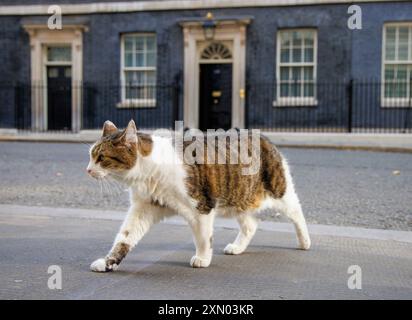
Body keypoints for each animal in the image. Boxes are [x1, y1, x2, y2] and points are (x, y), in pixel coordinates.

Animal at [87, 120, 312, 272]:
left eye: (101, 157)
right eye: (91, 155)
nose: (87, 170)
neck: (150, 172)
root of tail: (263, 137)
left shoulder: (201, 208)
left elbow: (203, 237)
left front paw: (203, 258)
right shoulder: (143, 209)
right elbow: (124, 238)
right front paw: (108, 262)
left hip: (280, 191)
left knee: (297, 213)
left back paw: (304, 241)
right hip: (238, 199)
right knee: (250, 225)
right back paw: (238, 247)